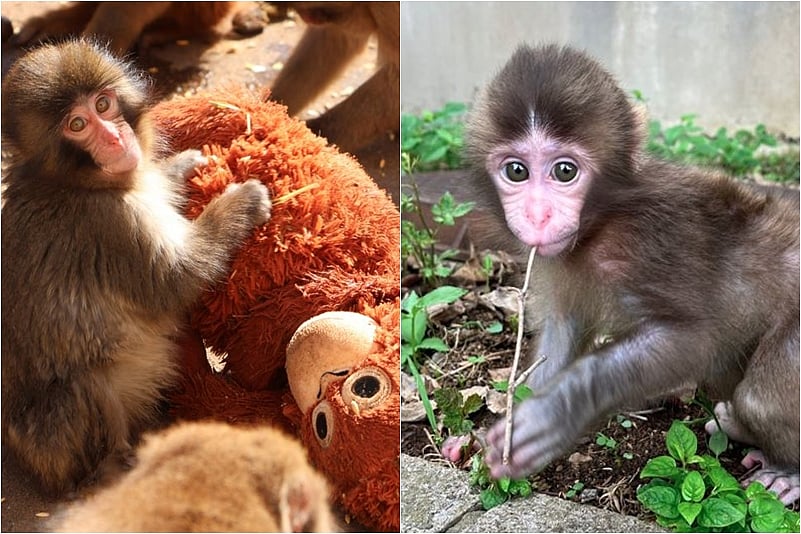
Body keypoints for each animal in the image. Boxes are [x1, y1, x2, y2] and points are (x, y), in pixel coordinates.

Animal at [1, 39, 272, 496]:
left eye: (103, 104)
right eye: (77, 124)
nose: (114, 138)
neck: (76, 183)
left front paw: (182, 165)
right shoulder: (110, 224)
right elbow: (176, 281)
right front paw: (241, 202)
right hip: (53, 444)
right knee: (84, 385)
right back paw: (113, 468)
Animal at [459, 44, 800, 504]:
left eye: (565, 171)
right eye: (516, 171)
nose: (537, 215)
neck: (601, 222)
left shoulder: (647, 241)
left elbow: (694, 339)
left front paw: (555, 411)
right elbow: (564, 332)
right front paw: (486, 438)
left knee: (760, 398)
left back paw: (787, 469)